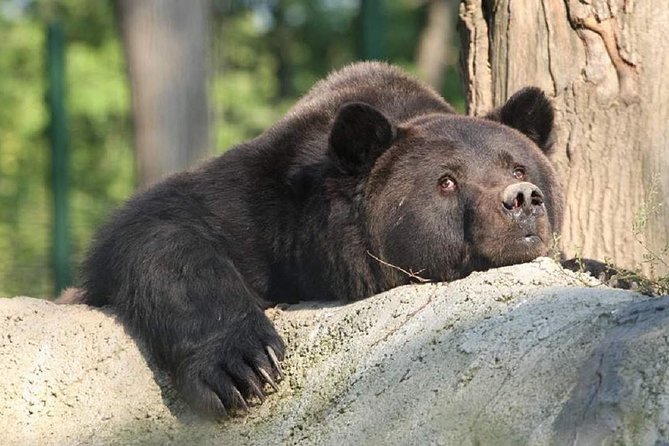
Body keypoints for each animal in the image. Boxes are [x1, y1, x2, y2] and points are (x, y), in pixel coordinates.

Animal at [78, 62, 564, 416]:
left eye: (516, 167)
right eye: (447, 181)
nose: (521, 199)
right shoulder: (259, 207)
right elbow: (163, 224)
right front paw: (246, 366)